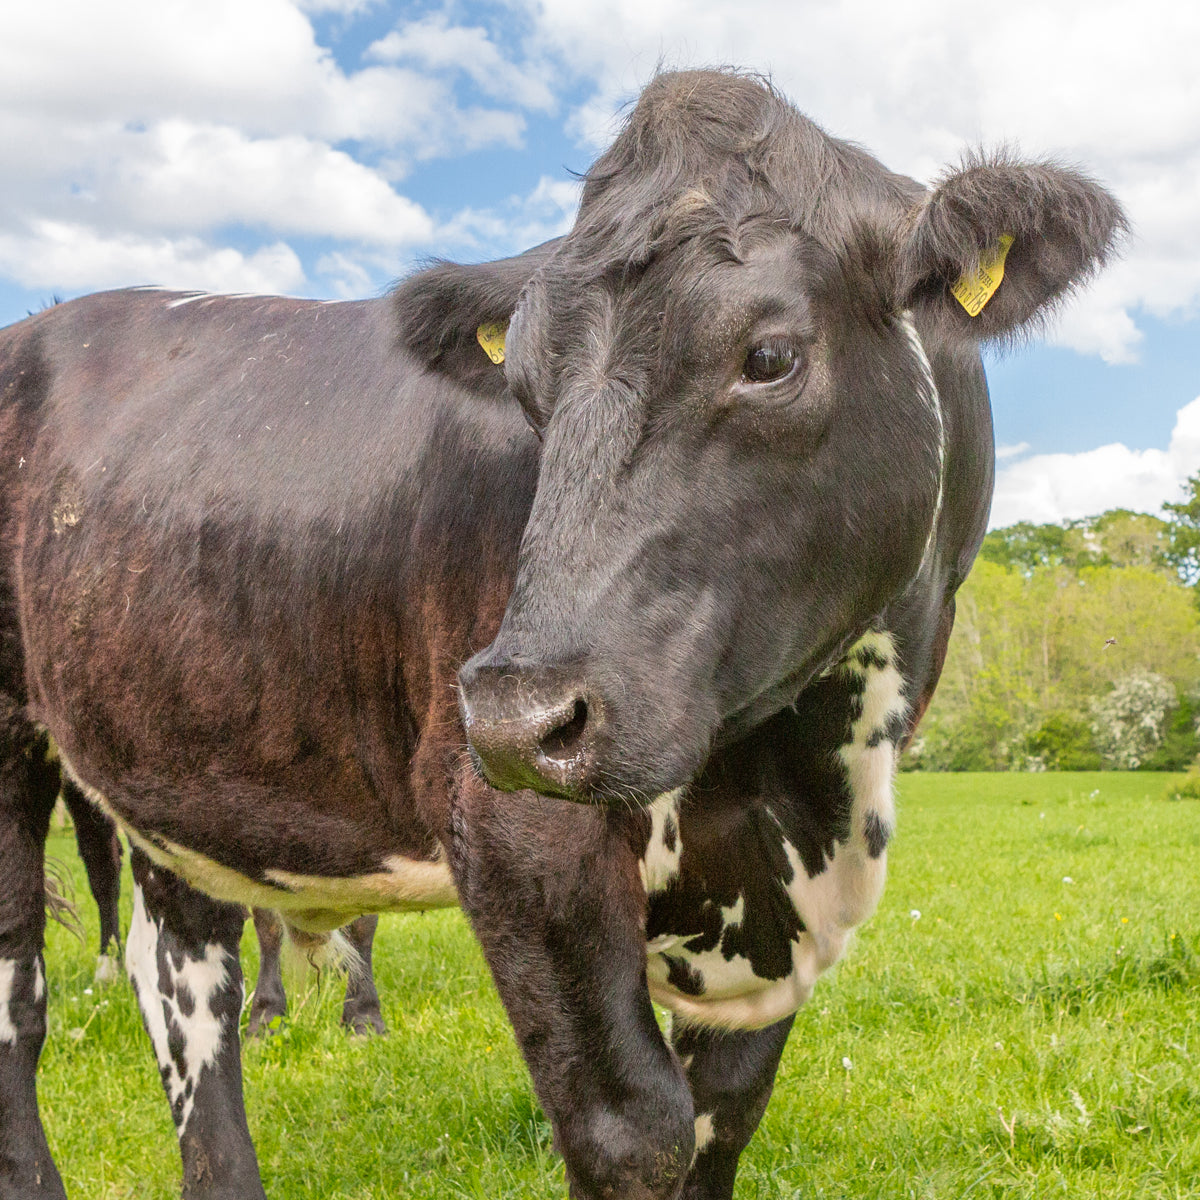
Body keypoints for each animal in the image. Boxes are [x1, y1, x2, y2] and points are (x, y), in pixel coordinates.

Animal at [0, 69, 1123, 1200]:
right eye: (525, 388)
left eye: (770, 356)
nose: (515, 714)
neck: (797, 768)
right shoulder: (510, 824)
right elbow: (632, 1128)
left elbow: (722, 1115)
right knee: (21, 992)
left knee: (186, 986)